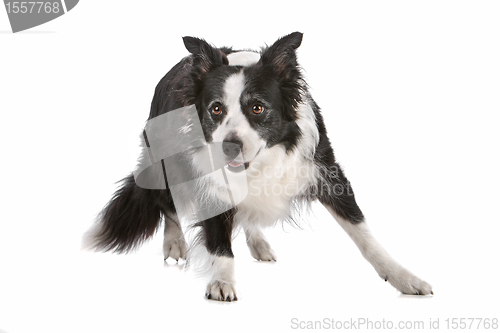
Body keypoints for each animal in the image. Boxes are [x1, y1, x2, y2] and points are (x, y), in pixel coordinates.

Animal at [84, 32, 432, 300]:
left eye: (257, 108)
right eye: (215, 109)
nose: (228, 146)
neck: (261, 161)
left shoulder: (324, 169)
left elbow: (363, 232)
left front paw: (403, 277)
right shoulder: (208, 182)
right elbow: (219, 241)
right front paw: (222, 282)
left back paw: (258, 241)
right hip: (163, 161)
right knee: (167, 204)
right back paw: (174, 242)